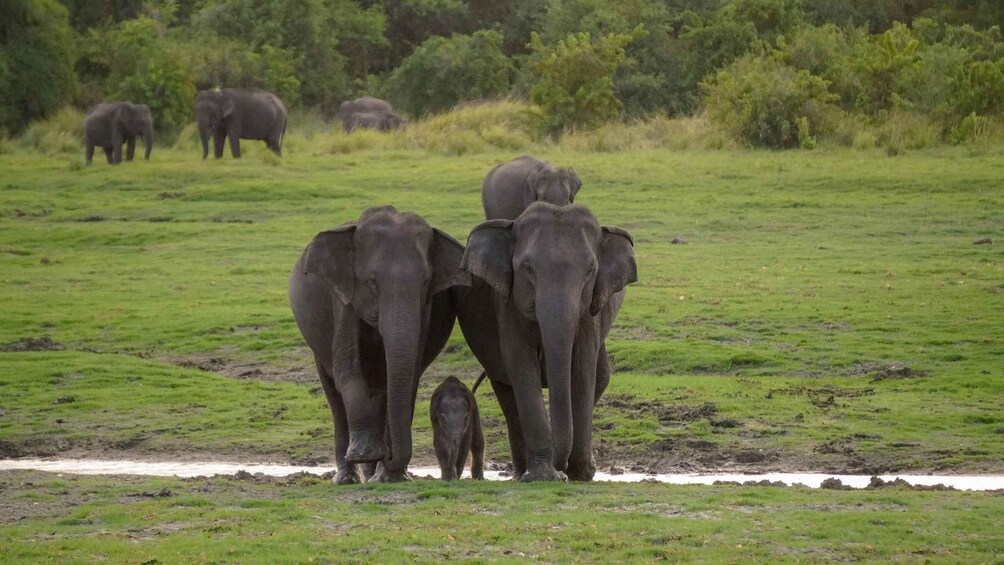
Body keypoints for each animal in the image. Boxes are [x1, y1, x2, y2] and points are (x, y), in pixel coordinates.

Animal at [289, 206, 469, 484]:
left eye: (426, 281)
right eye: (372, 282)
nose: (390, 456)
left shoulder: (425, 311)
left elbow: (409, 375)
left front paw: (391, 476)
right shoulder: (343, 300)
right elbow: (347, 369)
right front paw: (367, 454)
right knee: (334, 395)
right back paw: (348, 478)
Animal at [455, 202, 637, 482]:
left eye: (590, 270)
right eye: (528, 267)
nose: (561, 469)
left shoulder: (590, 314)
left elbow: (581, 370)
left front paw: (579, 474)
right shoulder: (508, 306)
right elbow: (521, 366)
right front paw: (545, 476)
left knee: (599, 379)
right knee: (507, 393)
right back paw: (522, 473)